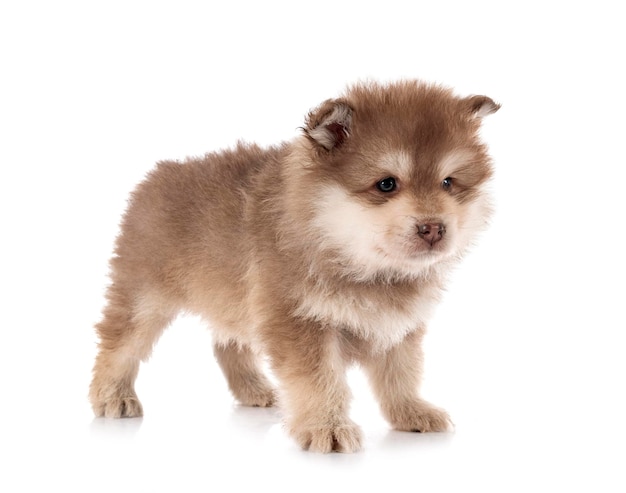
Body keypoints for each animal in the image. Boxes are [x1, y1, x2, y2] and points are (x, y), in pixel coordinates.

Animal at [89, 79, 498, 452]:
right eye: (386, 184)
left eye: (448, 183)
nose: (434, 228)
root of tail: (156, 176)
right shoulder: (299, 320)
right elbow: (319, 380)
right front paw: (327, 427)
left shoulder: (396, 327)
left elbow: (401, 374)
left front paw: (412, 412)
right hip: (144, 296)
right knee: (118, 343)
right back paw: (111, 396)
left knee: (227, 343)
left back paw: (254, 389)